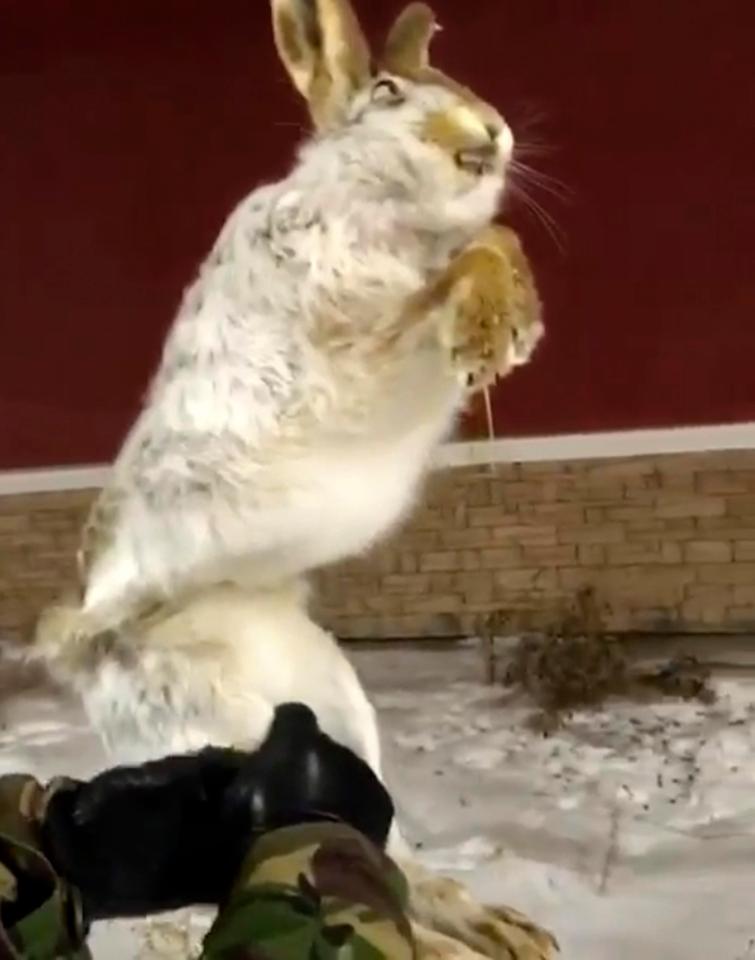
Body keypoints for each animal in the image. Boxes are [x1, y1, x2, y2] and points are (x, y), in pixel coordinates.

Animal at [36, 0, 543, 649]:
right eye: (386, 92)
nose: (492, 128)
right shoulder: (361, 331)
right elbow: (471, 255)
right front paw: (488, 340)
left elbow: (496, 238)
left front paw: (518, 325)